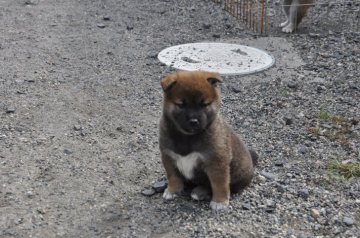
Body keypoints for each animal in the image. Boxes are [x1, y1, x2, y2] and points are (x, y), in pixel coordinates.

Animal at [159, 70, 258, 210]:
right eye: (181, 104)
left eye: (204, 104)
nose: (194, 121)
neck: (187, 137)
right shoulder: (168, 156)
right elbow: (173, 176)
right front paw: (172, 190)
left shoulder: (216, 161)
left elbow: (219, 184)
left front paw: (220, 201)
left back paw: (200, 192)